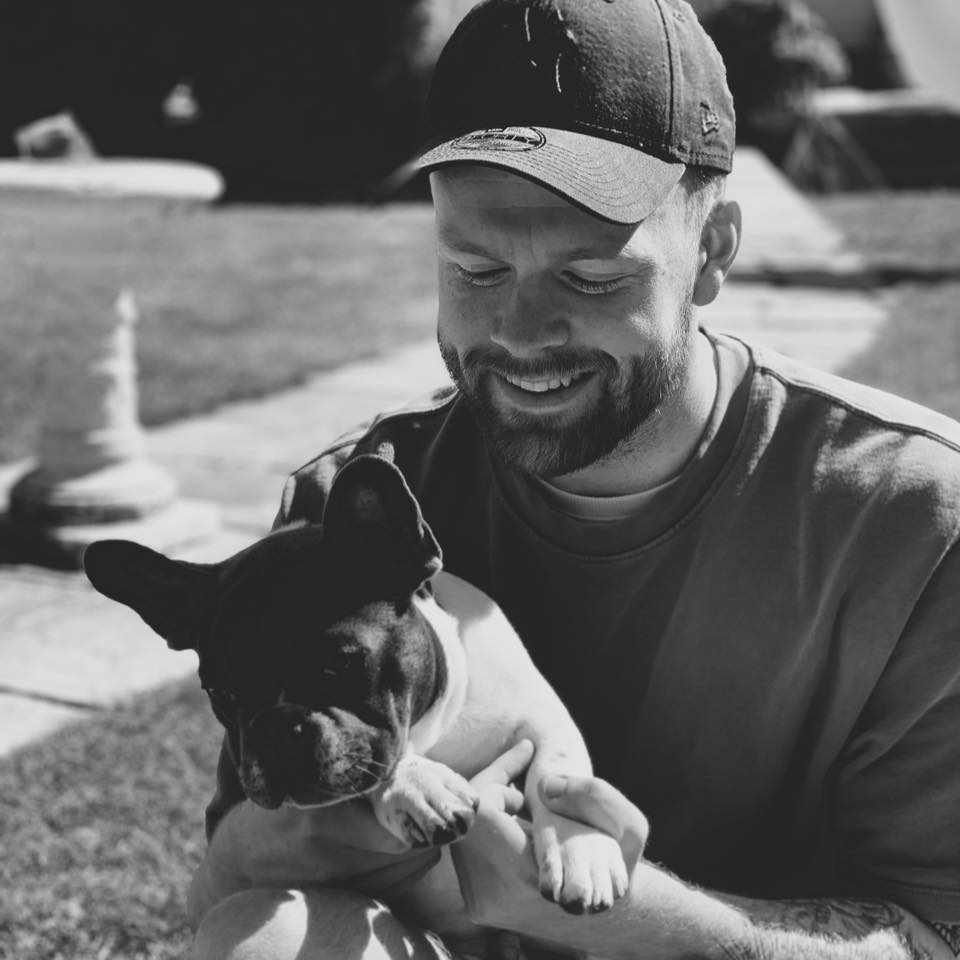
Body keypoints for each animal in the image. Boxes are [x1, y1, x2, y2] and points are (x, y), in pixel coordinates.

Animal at [84, 454, 627, 944]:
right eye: (221, 693)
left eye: (339, 664)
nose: (276, 729)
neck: (438, 729)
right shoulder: (228, 809)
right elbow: (374, 765)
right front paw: (416, 784)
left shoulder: (541, 716)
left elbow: (557, 772)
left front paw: (583, 849)